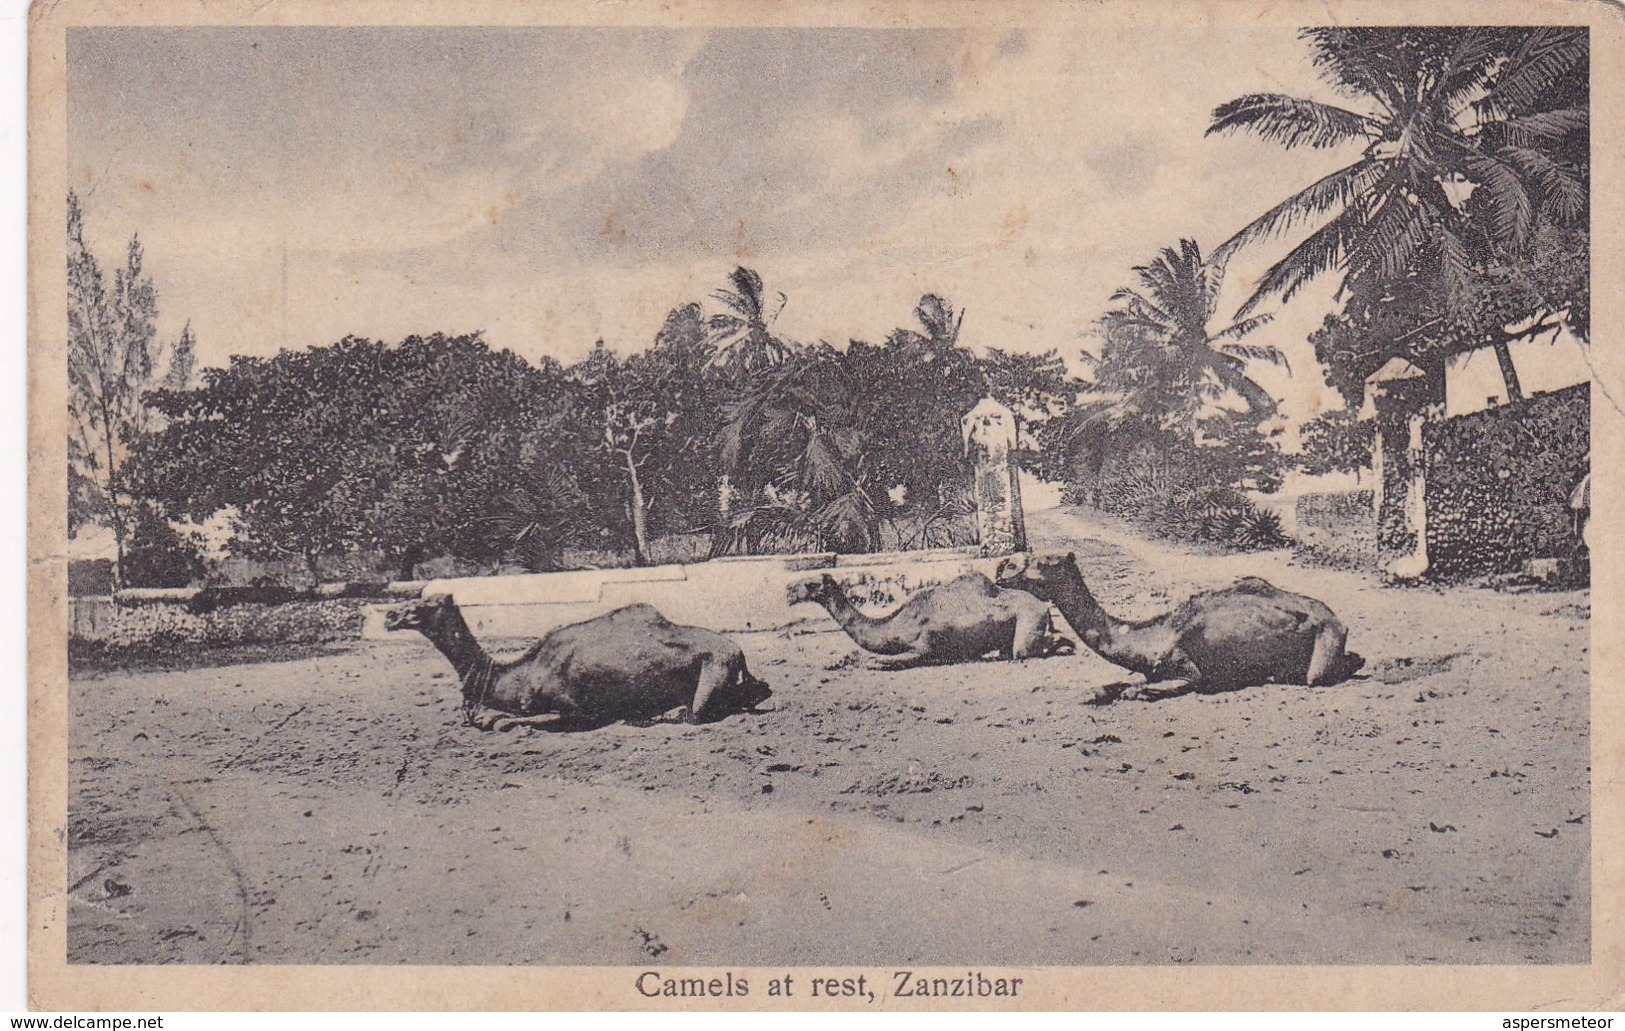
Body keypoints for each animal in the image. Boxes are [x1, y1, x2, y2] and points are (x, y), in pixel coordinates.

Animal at [390, 588, 776, 725]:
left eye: (424, 605)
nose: (391, 615)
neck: (523, 672)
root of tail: (739, 653)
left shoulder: (573, 706)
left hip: (711, 673)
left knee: (695, 713)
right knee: (760, 689)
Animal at [783, 565, 1072, 663]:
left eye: (811, 584)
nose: (788, 590)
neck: (898, 624)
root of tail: (1043, 605)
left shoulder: (925, 645)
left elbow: (885, 661)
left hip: (1028, 621)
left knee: (1022, 651)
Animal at [994, 549, 1365, 702]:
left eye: (1048, 562)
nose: (1003, 567)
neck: (1147, 637)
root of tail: (1336, 618)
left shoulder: (1189, 669)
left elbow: (1145, 689)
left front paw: (1133, 693)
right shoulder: (1147, 669)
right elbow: (1115, 685)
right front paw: (1096, 693)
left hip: (1325, 640)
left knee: (1321, 674)